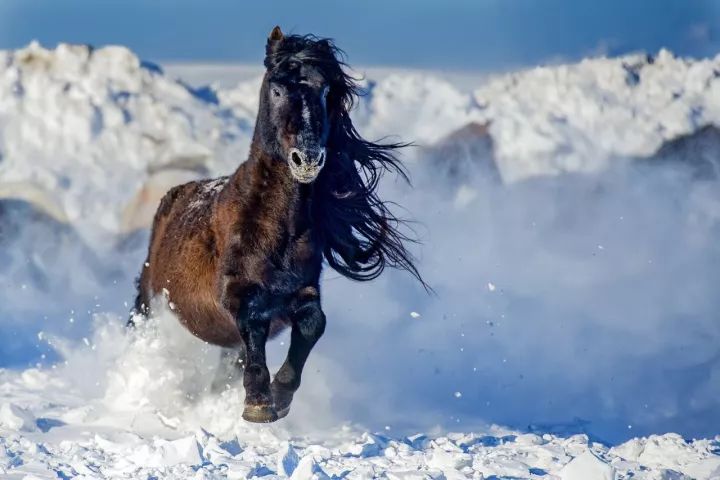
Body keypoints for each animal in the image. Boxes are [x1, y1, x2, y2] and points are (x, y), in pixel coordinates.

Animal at [132, 27, 424, 424]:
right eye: (277, 89)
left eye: (325, 90)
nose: (308, 159)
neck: (272, 228)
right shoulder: (236, 295)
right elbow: (253, 330)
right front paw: (258, 403)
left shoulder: (303, 293)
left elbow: (314, 323)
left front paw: (281, 396)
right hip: (149, 299)